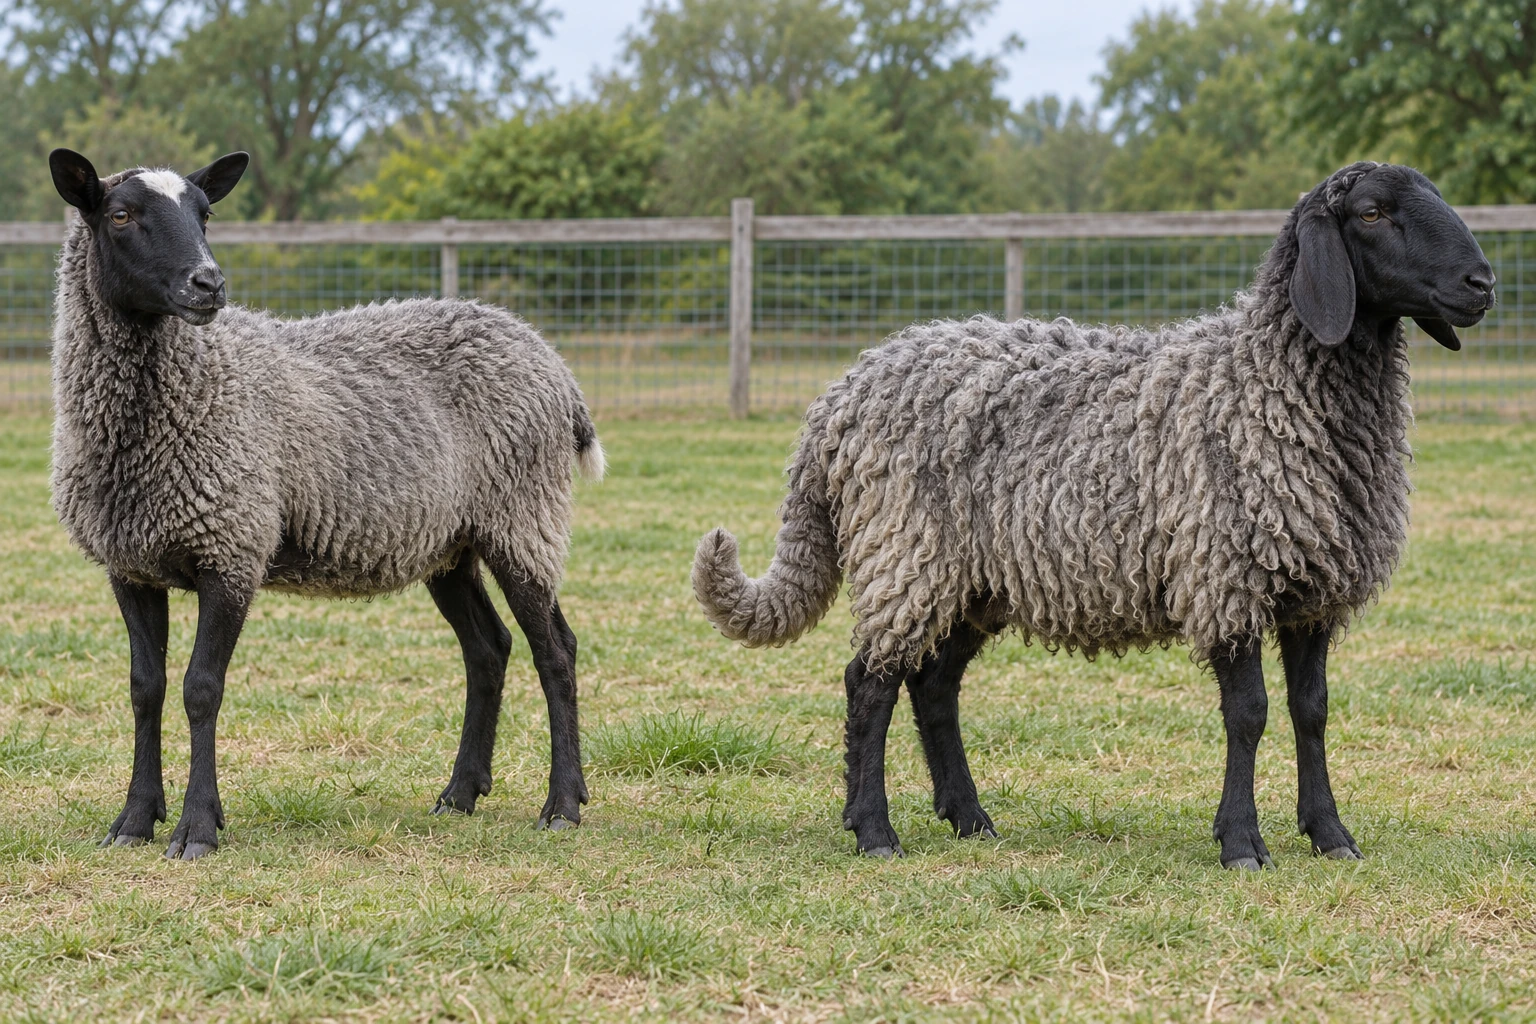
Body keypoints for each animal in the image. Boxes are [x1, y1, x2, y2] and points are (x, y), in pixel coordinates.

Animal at [47, 148, 604, 859]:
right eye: (120, 216)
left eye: (205, 213)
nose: (208, 285)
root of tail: (550, 360)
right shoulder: (132, 564)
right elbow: (146, 690)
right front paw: (134, 821)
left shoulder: (233, 548)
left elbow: (201, 690)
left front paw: (197, 828)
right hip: (452, 542)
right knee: (489, 649)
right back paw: (459, 794)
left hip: (524, 516)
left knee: (555, 650)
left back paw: (561, 805)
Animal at [693, 162, 1495, 866]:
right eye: (1372, 212)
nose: (1482, 283)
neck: (1263, 380)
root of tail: (837, 401)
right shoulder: (1224, 575)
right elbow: (1250, 713)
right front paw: (1242, 843)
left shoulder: (1312, 592)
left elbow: (1312, 711)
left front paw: (1330, 836)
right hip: (905, 551)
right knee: (870, 683)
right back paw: (874, 831)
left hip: (971, 578)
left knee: (933, 686)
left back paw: (971, 818)